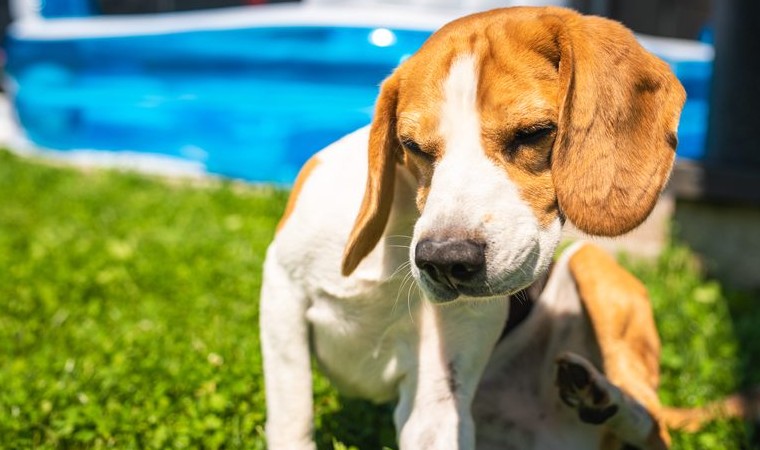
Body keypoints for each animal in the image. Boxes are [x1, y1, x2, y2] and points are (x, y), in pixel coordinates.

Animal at [260, 7, 732, 450]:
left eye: (534, 133)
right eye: (412, 146)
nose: (445, 261)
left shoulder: (437, 397)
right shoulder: (282, 292)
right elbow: (292, 418)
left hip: (592, 263)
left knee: (652, 422)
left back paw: (603, 395)